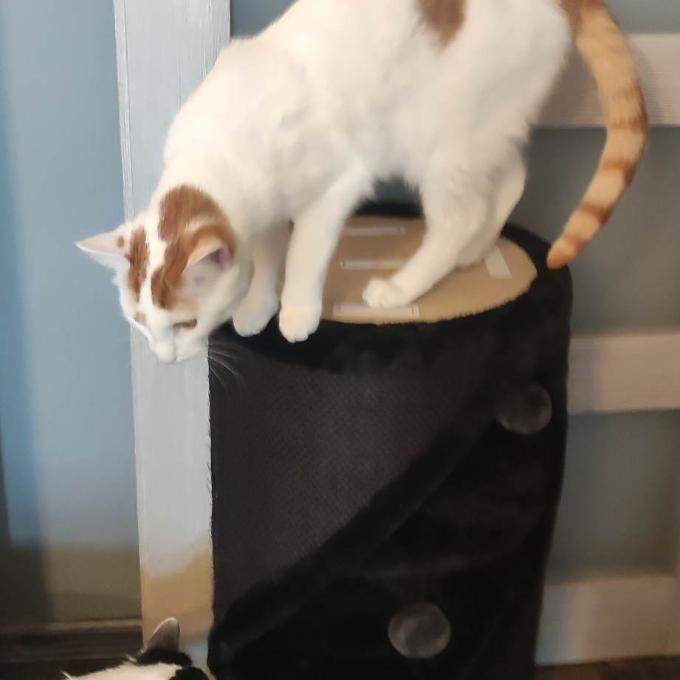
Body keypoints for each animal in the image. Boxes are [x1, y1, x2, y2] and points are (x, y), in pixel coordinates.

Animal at [78, 0, 646, 360]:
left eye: (185, 324)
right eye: (139, 322)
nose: (163, 359)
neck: (220, 147)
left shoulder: (335, 187)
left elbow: (304, 254)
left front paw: (296, 312)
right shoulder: (261, 207)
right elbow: (266, 253)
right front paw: (258, 304)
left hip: (440, 143)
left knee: (459, 215)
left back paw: (401, 288)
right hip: (481, 133)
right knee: (511, 180)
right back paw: (473, 252)